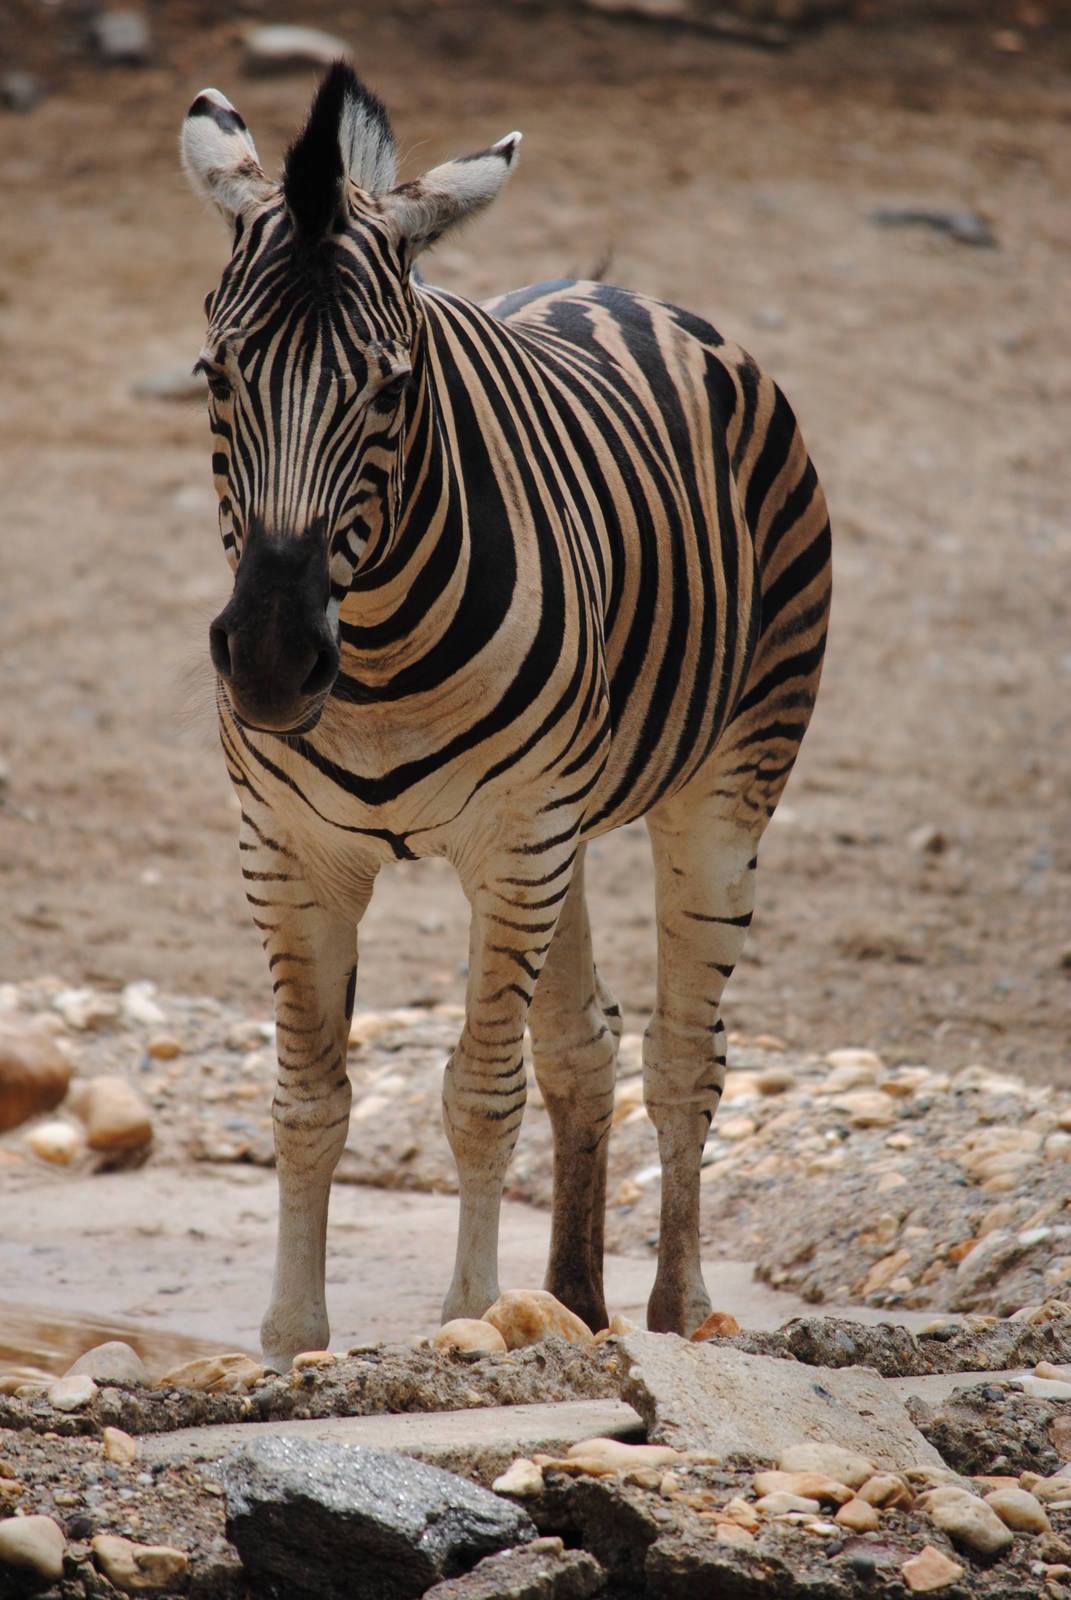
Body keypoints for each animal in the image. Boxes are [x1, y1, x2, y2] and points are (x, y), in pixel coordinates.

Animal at [180, 63, 831, 1369]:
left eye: (391, 387)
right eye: (216, 376)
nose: (270, 662)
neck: (375, 657)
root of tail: (628, 293)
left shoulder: (515, 841)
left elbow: (480, 1089)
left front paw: (470, 1319)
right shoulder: (290, 853)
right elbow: (309, 1095)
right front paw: (289, 1344)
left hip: (721, 788)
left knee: (684, 1052)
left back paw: (677, 1309)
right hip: (567, 830)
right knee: (587, 1040)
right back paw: (573, 1298)